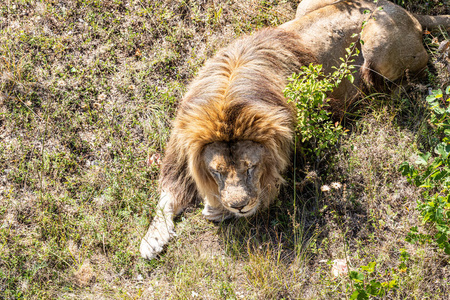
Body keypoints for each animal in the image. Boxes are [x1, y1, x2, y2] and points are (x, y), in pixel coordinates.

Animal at [139, 0, 448, 258]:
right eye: (216, 171)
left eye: (250, 167)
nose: (238, 206)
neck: (229, 99)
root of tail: (406, 12)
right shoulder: (181, 152)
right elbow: (167, 196)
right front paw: (151, 239)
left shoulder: (290, 150)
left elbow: (261, 194)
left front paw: (216, 209)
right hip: (305, 6)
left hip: (374, 41)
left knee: (406, 82)